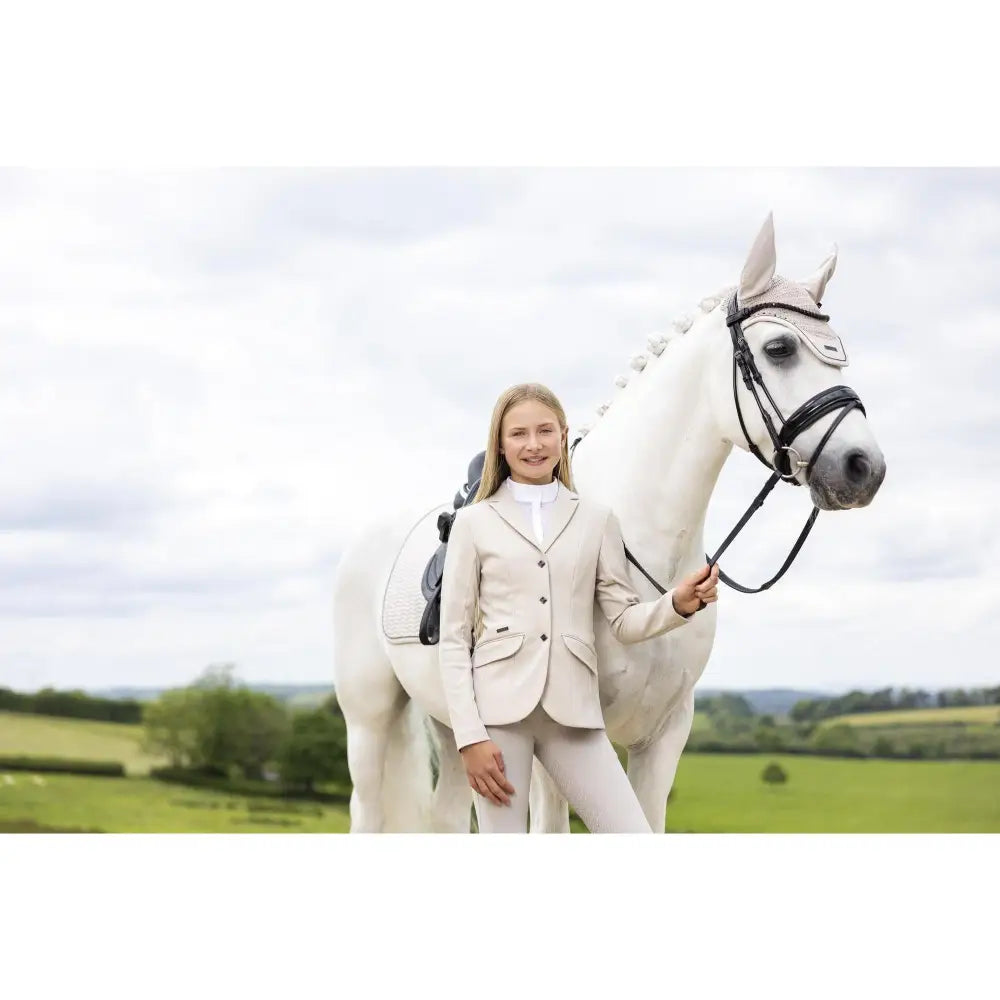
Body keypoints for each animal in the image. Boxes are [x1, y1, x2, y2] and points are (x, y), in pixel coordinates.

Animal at [332, 213, 887, 832]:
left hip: (453, 724)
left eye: (840, 354)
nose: (863, 467)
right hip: (369, 722)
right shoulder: (552, 746)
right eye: (780, 347)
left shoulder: (664, 737)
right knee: (367, 807)